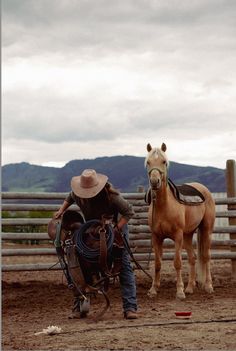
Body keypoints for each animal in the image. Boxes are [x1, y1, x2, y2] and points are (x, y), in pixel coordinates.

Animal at [145, 143, 215, 300]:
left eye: (164, 162)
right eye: (148, 162)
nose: (154, 182)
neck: (164, 206)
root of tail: (203, 188)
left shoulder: (177, 236)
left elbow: (177, 262)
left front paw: (179, 291)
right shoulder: (156, 237)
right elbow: (157, 263)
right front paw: (153, 289)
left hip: (206, 230)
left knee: (206, 256)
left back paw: (208, 286)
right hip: (188, 235)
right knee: (192, 258)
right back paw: (190, 288)